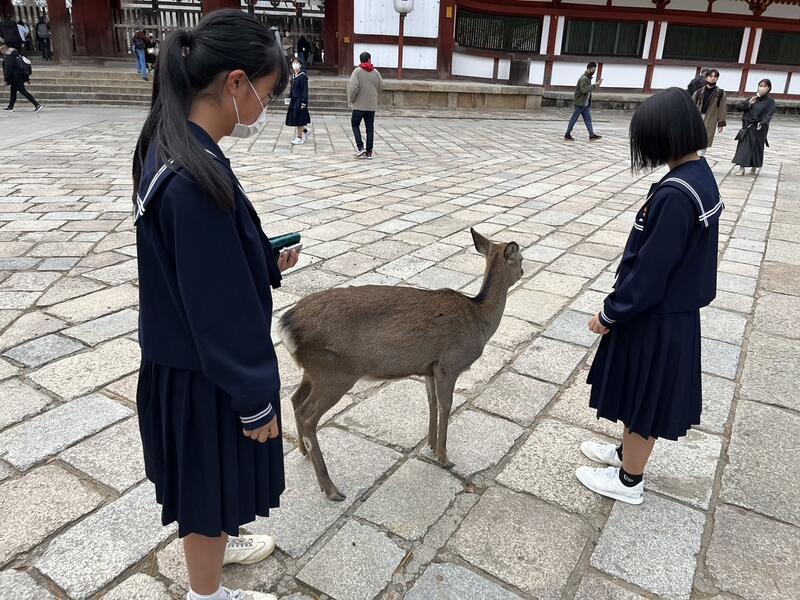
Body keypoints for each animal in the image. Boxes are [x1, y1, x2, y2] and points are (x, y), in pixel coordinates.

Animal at [278, 228, 523, 501]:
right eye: (521, 259)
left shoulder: (430, 367)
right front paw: (444, 457)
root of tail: (285, 326)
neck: (480, 319)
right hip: (335, 373)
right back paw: (330, 488)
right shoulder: (449, 364)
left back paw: (303, 452)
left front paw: (430, 444)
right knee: (306, 414)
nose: (523, 271)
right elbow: (446, 405)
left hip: (313, 371)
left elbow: (432, 402)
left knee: (295, 399)